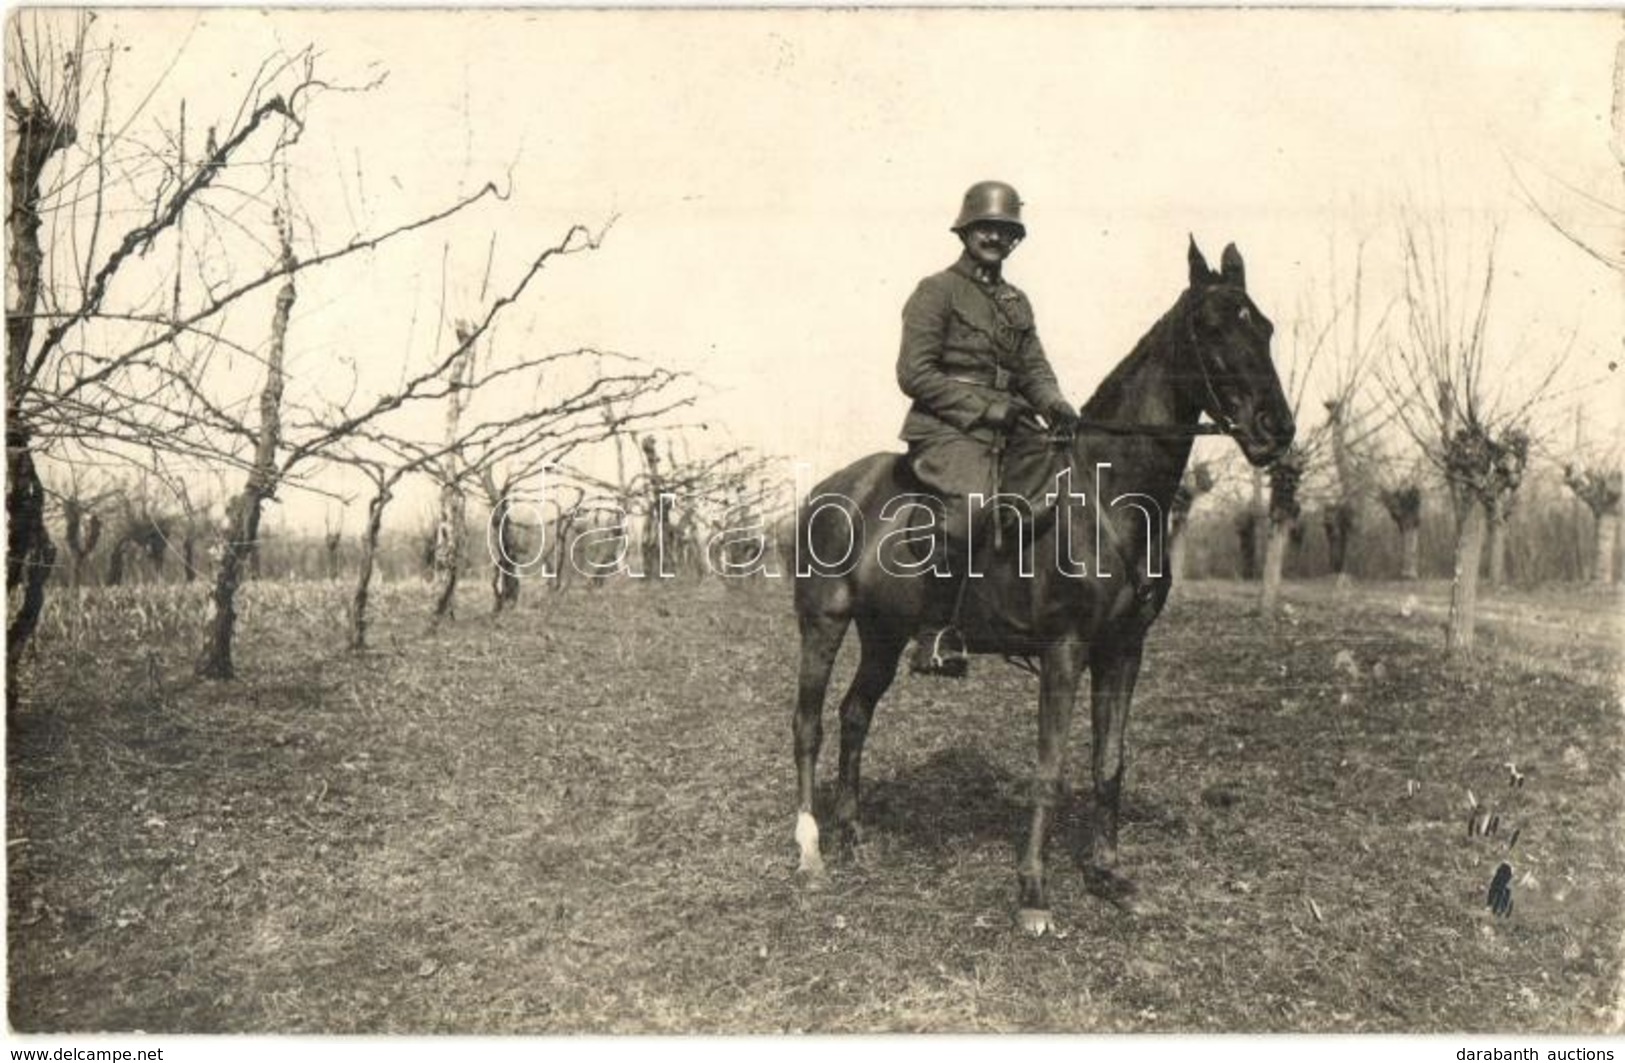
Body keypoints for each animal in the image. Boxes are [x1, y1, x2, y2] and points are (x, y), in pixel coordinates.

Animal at [786, 238, 1293, 936]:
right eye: (1212, 327)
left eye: (1264, 327)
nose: (1278, 430)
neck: (1110, 494)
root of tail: (830, 489)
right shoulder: (1065, 649)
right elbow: (1050, 769)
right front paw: (1033, 891)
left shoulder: (1123, 650)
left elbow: (1109, 763)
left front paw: (1110, 877)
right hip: (824, 624)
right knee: (807, 723)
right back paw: (810, 853)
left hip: (884, 635)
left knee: (855, 714)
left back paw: (854, 837)